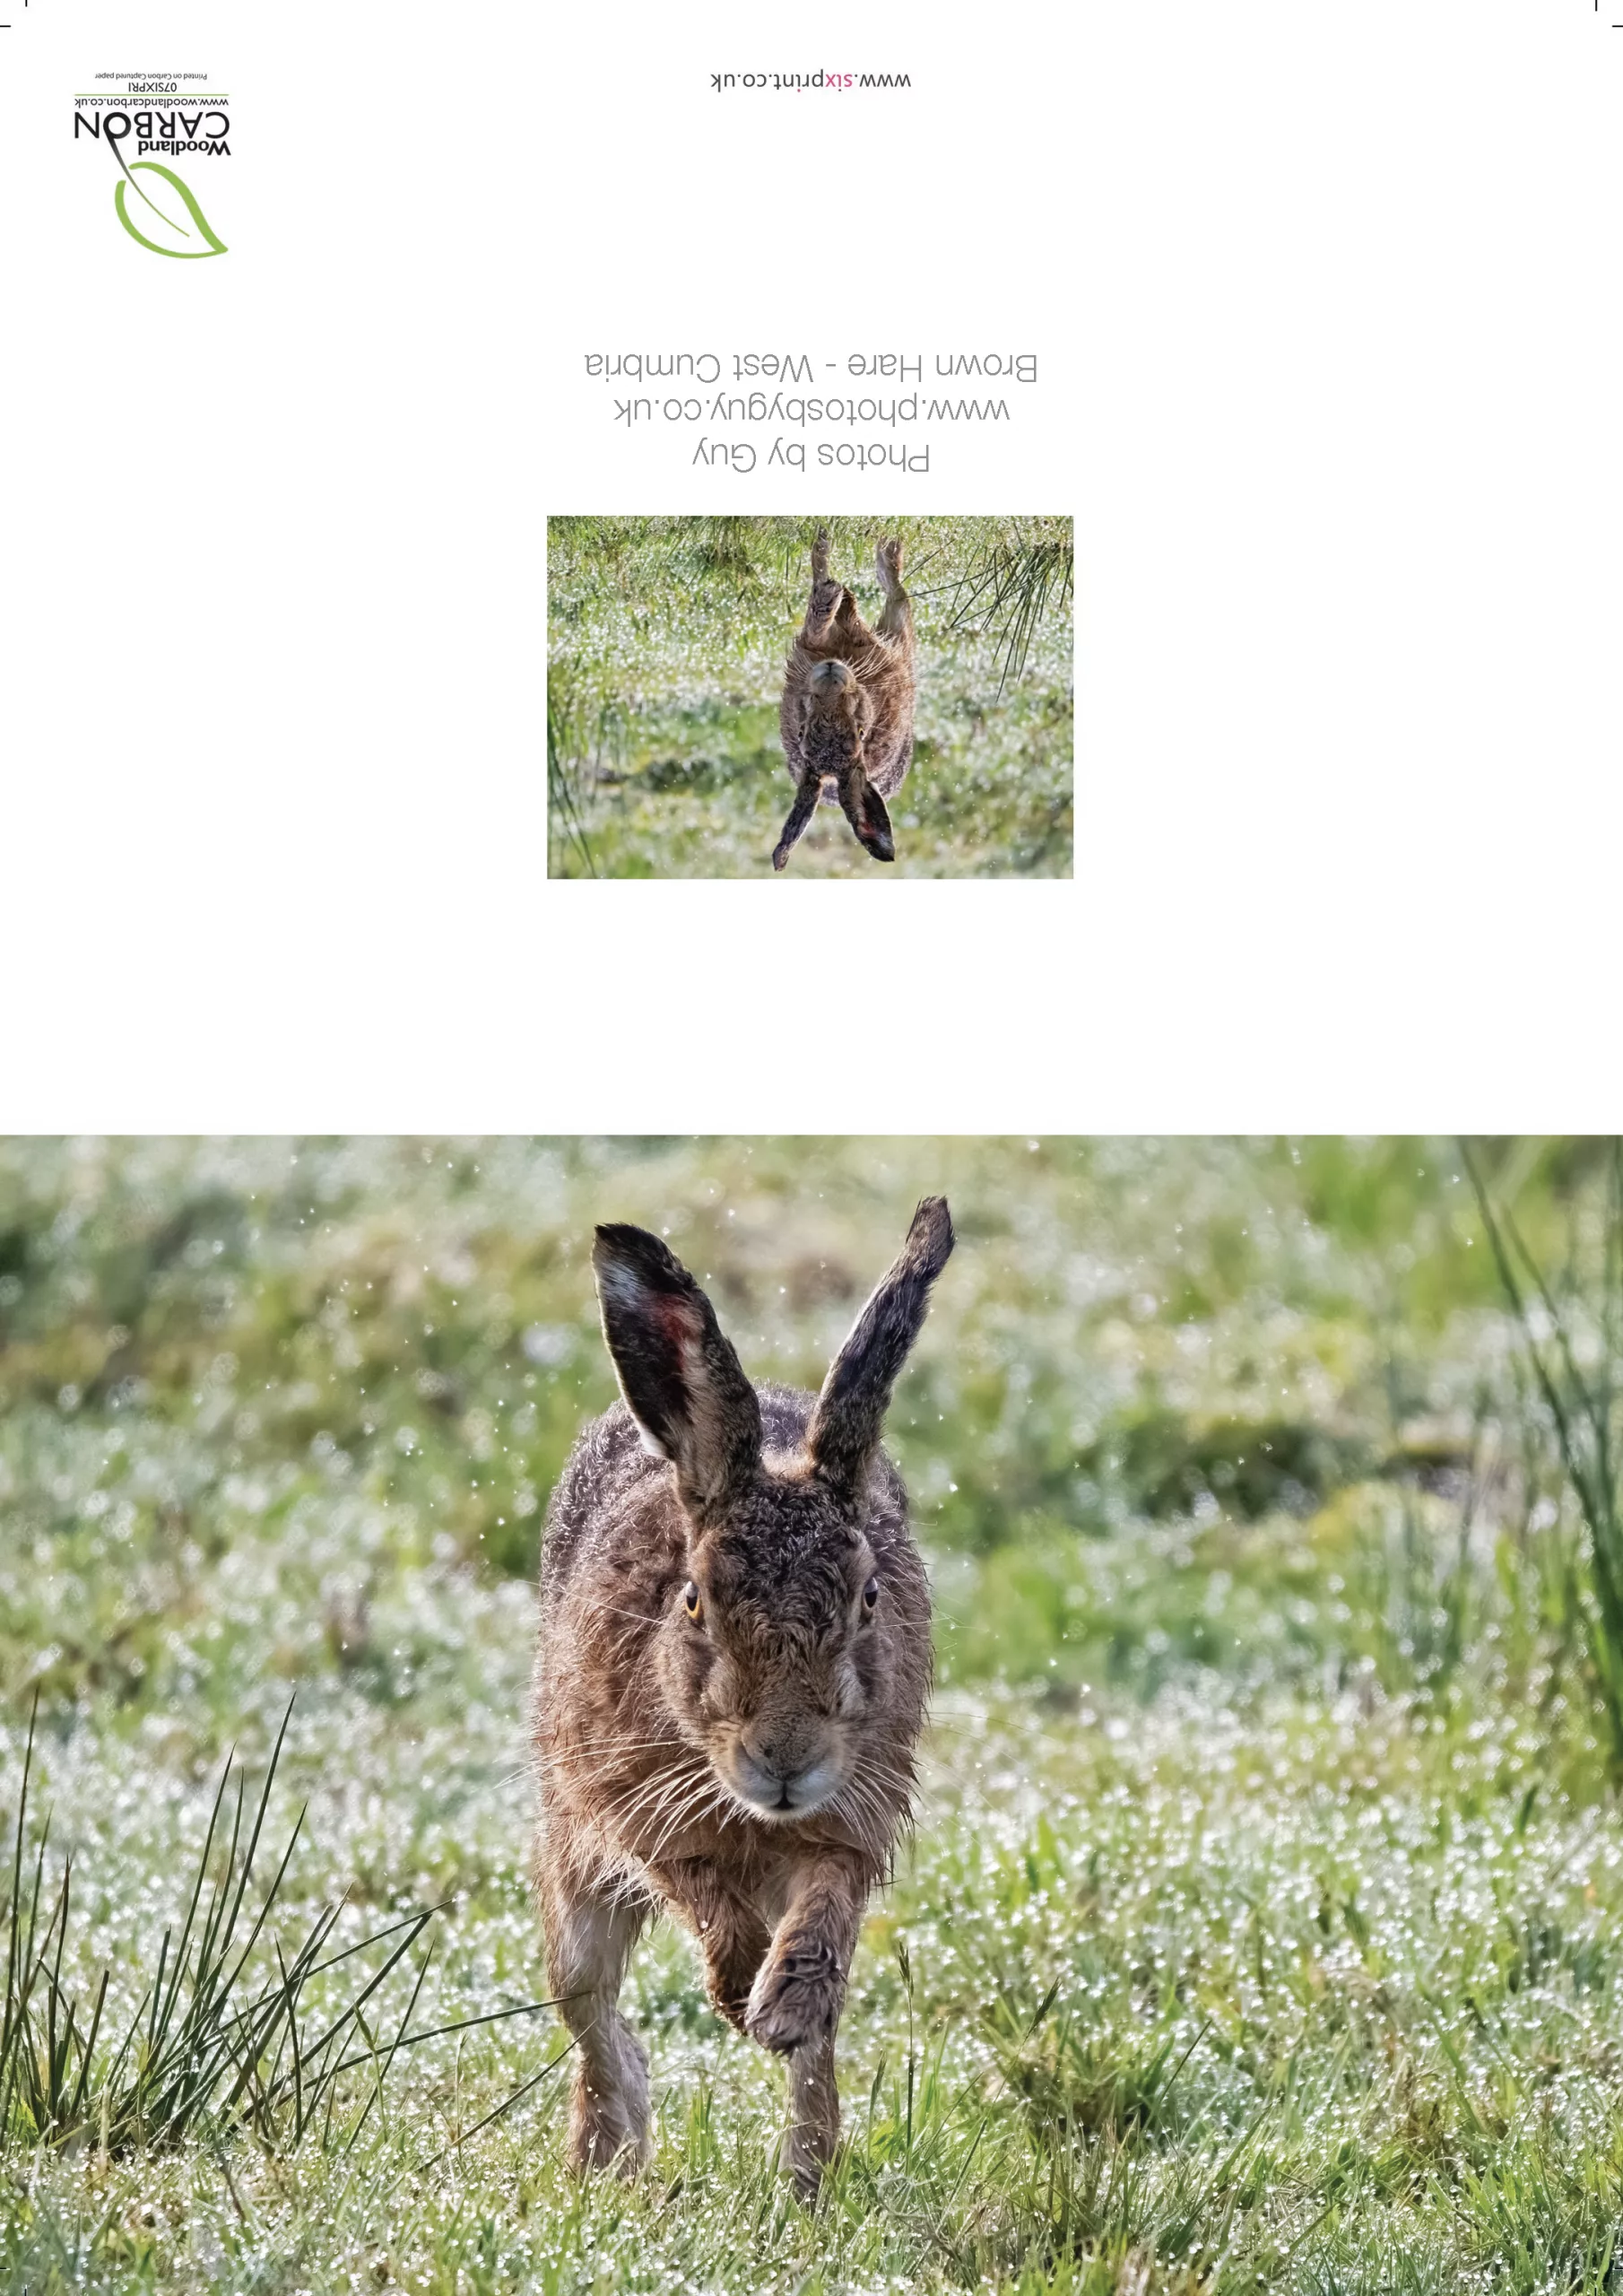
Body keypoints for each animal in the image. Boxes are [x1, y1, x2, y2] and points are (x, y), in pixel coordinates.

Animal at [531, 1198, 953, 2196]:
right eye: (695, 1600)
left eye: (867, 1600)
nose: (785, 1759)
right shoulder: (638, 1814)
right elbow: (705, 1898)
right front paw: (736, 1992)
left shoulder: (854, 1817)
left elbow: (823, 1915)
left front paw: (779, 2005)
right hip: (571, 1873)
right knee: (590, 2010)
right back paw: (606, 2163)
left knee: (814, 2059)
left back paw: (807, 2181)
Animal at [773, 528, 916, 872]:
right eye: (802, 730)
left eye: (861, 732)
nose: (831, 677)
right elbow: (821, 626)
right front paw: (832, 592)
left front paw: (832, 589)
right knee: (897, 594)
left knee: (896, 594)